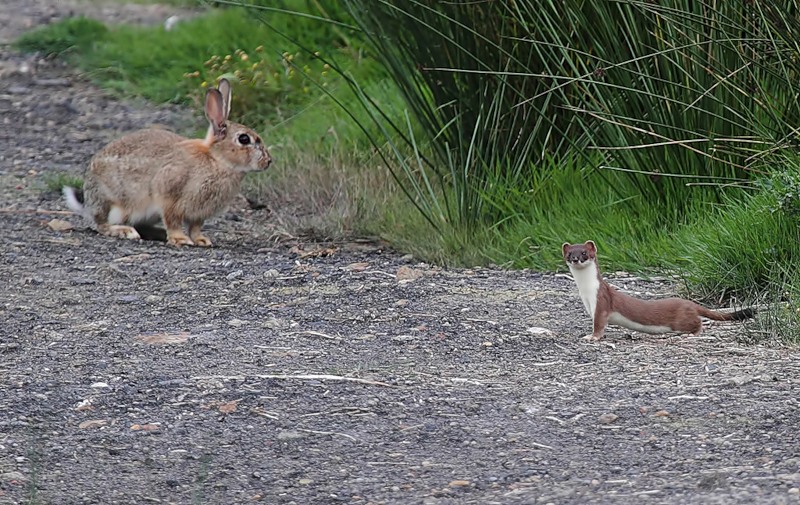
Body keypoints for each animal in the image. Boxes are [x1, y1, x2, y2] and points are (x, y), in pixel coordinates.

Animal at [61, 77, 272, 248]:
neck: (216, 160)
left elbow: (195, 227)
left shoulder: (198, 214)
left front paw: (202, 240)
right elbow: (173, 221)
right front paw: (180, 239)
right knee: (102, 224)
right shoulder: (169, 196)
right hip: (114, 203)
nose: (268, 162)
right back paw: (124, 231)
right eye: (244, 139)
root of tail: (88, 200)